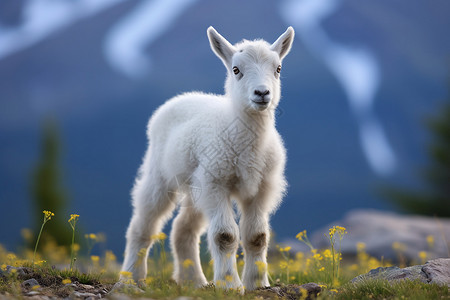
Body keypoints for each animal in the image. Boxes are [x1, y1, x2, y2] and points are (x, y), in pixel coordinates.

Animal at [120, 26, 296, 290]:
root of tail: (182, 96)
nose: (262, 93)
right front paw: (230, 285)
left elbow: (257, 236)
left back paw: (193, 280)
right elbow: (225, 236)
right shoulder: (216, 183)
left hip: (197, 185)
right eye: (236, 70)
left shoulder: (261, 188)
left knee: (182, 228)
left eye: (278, 68)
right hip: (160, 175)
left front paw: (257, 284)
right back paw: (130, 277)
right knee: (143, 225)